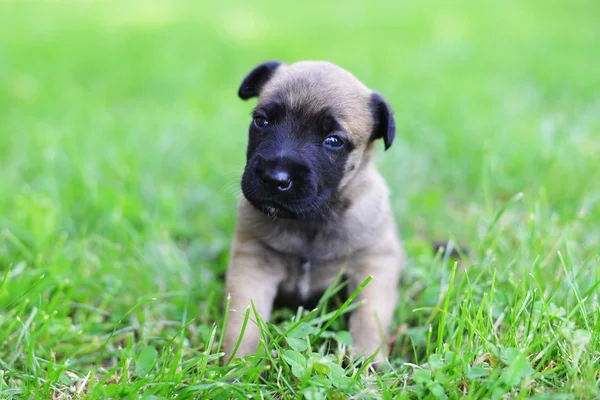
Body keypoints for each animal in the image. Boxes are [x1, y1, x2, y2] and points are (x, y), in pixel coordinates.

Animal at [221, 61, 404, 368]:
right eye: (262, 122)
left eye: (333, 141)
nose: (275, 179)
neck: (311, 220)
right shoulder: (252, 265)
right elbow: (244, 319)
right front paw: (240, 364)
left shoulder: (375, 263)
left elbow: (369, 316)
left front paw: (367, 362)